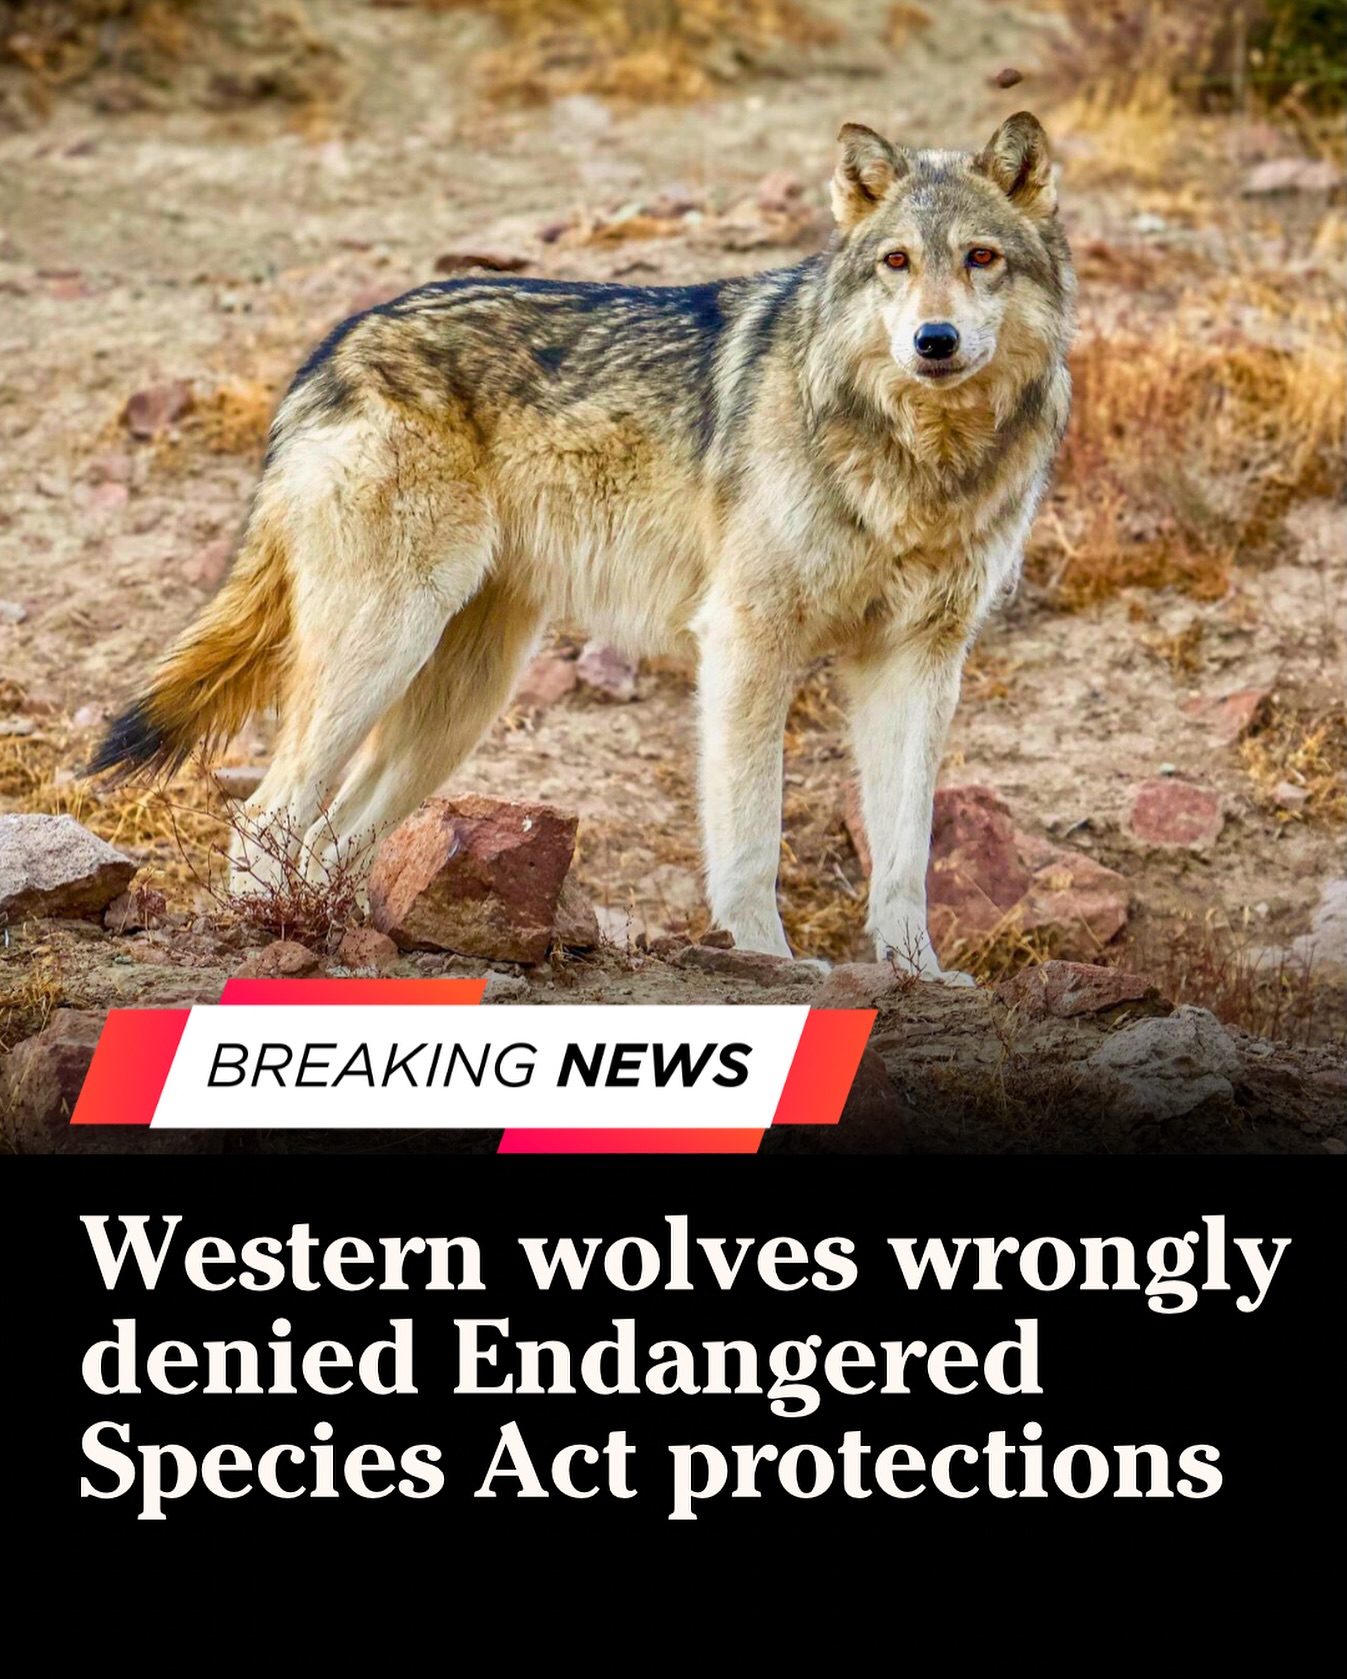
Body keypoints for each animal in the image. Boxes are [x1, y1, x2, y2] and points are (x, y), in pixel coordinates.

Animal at [91, 112, 1074, 977]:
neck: (920, 457)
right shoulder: (747, 640)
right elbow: (751, 836)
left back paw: (342, 935)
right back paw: (281, 939)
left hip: (462, 695)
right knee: (265, 813)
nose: (934, 340)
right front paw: (770, 961)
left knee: (332, 833)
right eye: (896, 262)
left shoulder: (917, 657)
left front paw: (918, 974)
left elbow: (905, 855)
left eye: (980, 258)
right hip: (381, 650)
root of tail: (330, 348)